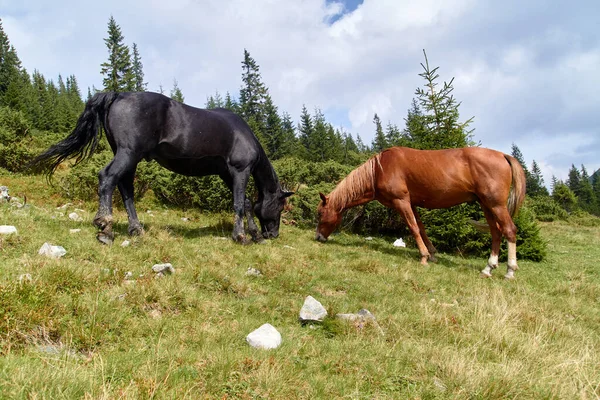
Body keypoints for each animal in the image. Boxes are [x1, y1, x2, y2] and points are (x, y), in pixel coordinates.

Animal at [32, 92, 292, 245]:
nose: (273, 234)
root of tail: (118, 95)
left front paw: (254, 234)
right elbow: (239, 204)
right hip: (128, 153)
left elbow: (246, 203)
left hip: (130, 157)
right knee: (107, 178)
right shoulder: (239, 170)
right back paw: (105, 227)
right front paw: (241, 236)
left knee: (126, 188)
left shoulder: (228, 174)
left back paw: (136, 229)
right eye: (280, 206)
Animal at [314, 146, 524, 278]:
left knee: (509, 230)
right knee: (496, 232)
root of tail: (503, 155)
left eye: (319, 214)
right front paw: (432, 254)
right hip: (486, 205)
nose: (318, 237)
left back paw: (510, 270)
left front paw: (423, 257)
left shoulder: (402, 202)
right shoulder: (412, 204)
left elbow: (413, 228)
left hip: (496, 205)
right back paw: (489, 267)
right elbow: (421, 228)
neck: (379, 170)